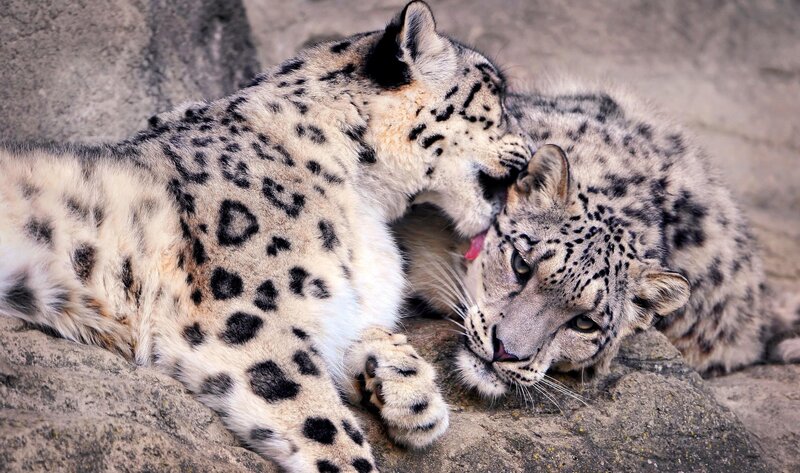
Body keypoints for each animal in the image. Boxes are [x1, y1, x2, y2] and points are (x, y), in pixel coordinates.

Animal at [0, 2, 532, 471]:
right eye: (496, 92)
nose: (530, 145)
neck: (368, 206)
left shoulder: (333, 308)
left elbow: (366, 331)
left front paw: (415, 395)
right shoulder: (247, 317)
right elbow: (322, 422)